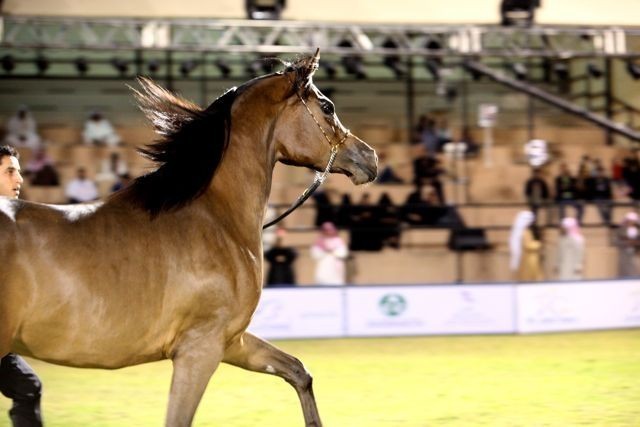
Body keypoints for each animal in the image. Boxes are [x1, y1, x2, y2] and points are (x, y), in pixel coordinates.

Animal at [0, 51, 377, 426]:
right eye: (326, 106)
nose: (370, 157)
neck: (215, 217)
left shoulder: (232, 341)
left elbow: (298, 371)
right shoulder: (200, 349)